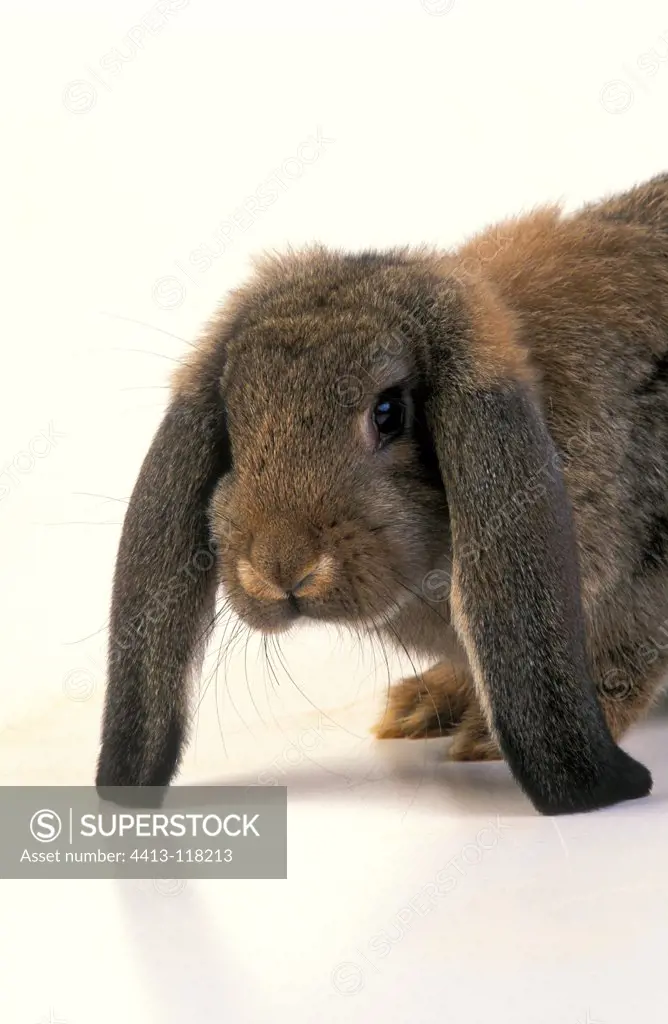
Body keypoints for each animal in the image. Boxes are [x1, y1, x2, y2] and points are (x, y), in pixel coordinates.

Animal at [92, 174, 667, 815]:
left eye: (389, 412)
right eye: (232, 425)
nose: (280, 568)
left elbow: (621, 666)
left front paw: (481, 742)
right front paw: (422, 709)